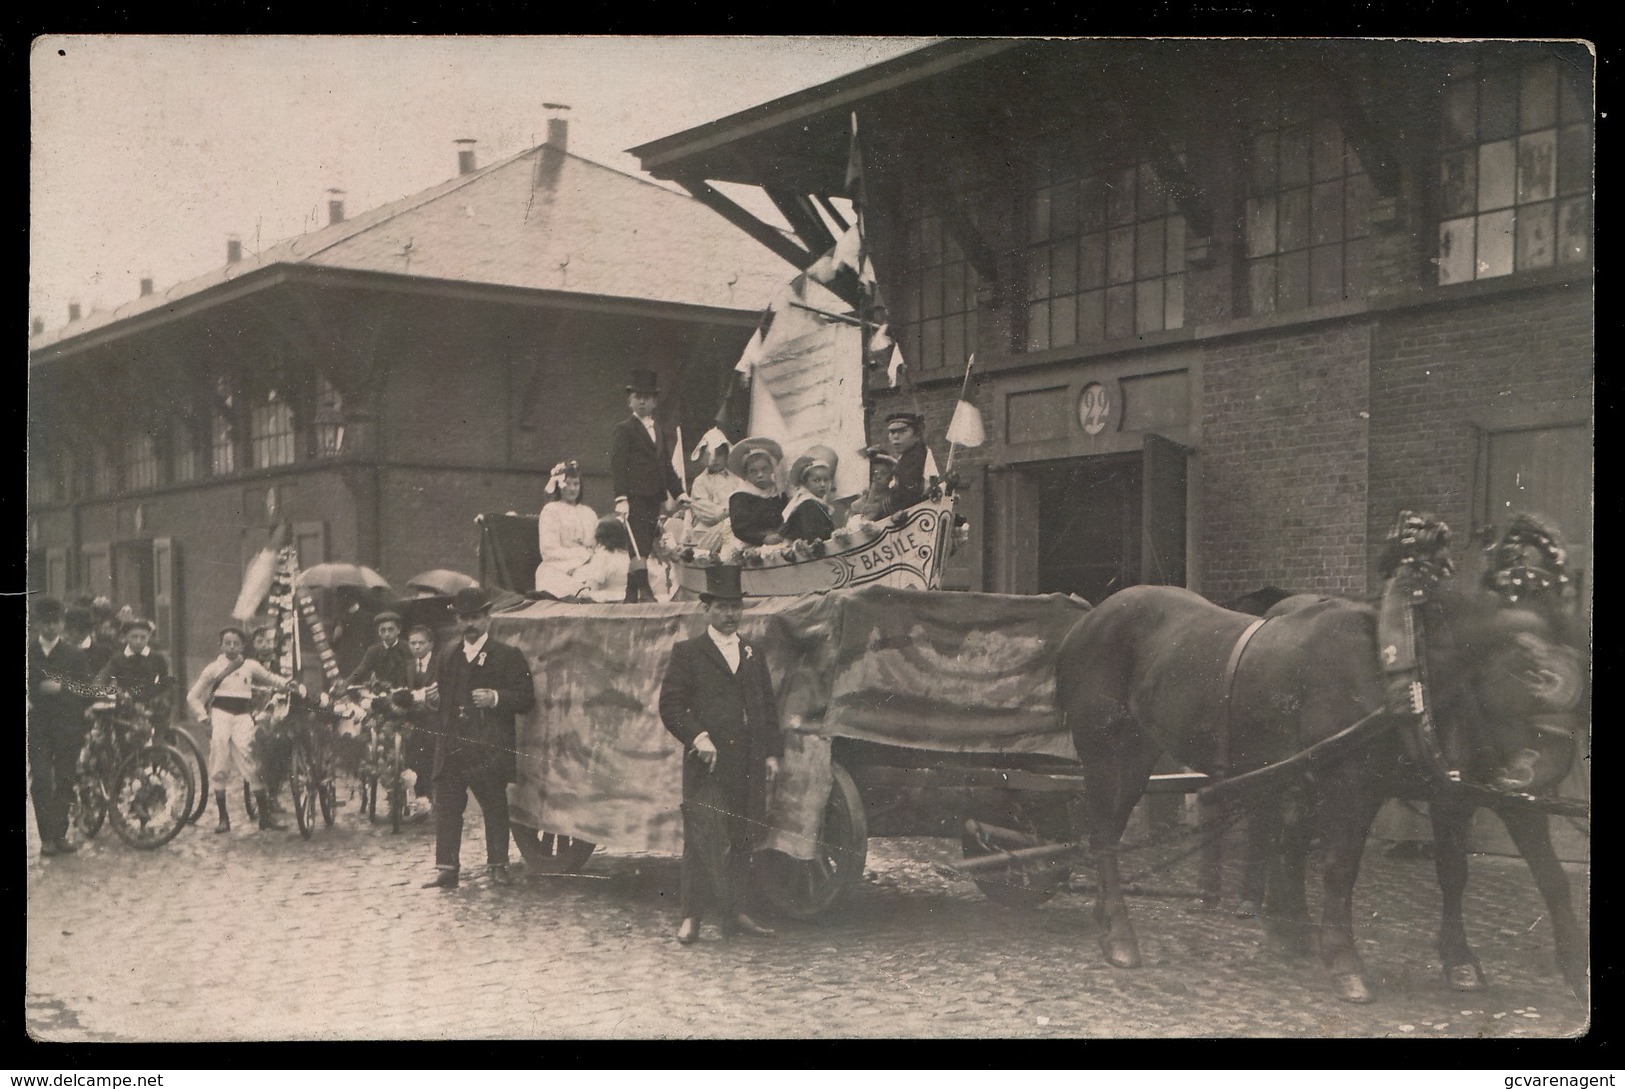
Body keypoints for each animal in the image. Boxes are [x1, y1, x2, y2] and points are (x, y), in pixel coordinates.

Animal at [1053, 578, 1586, 1007]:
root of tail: (1086, 622)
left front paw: (1504, 965)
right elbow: (1340, 869)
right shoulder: (1352, 786)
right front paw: (1346, 964)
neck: (1400, 671)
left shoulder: (1465, 793)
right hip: (1113, 752)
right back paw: (1120, 935)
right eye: (1533, 672)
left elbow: (1521, 876)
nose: (1544, 770)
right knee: (1104, 835)